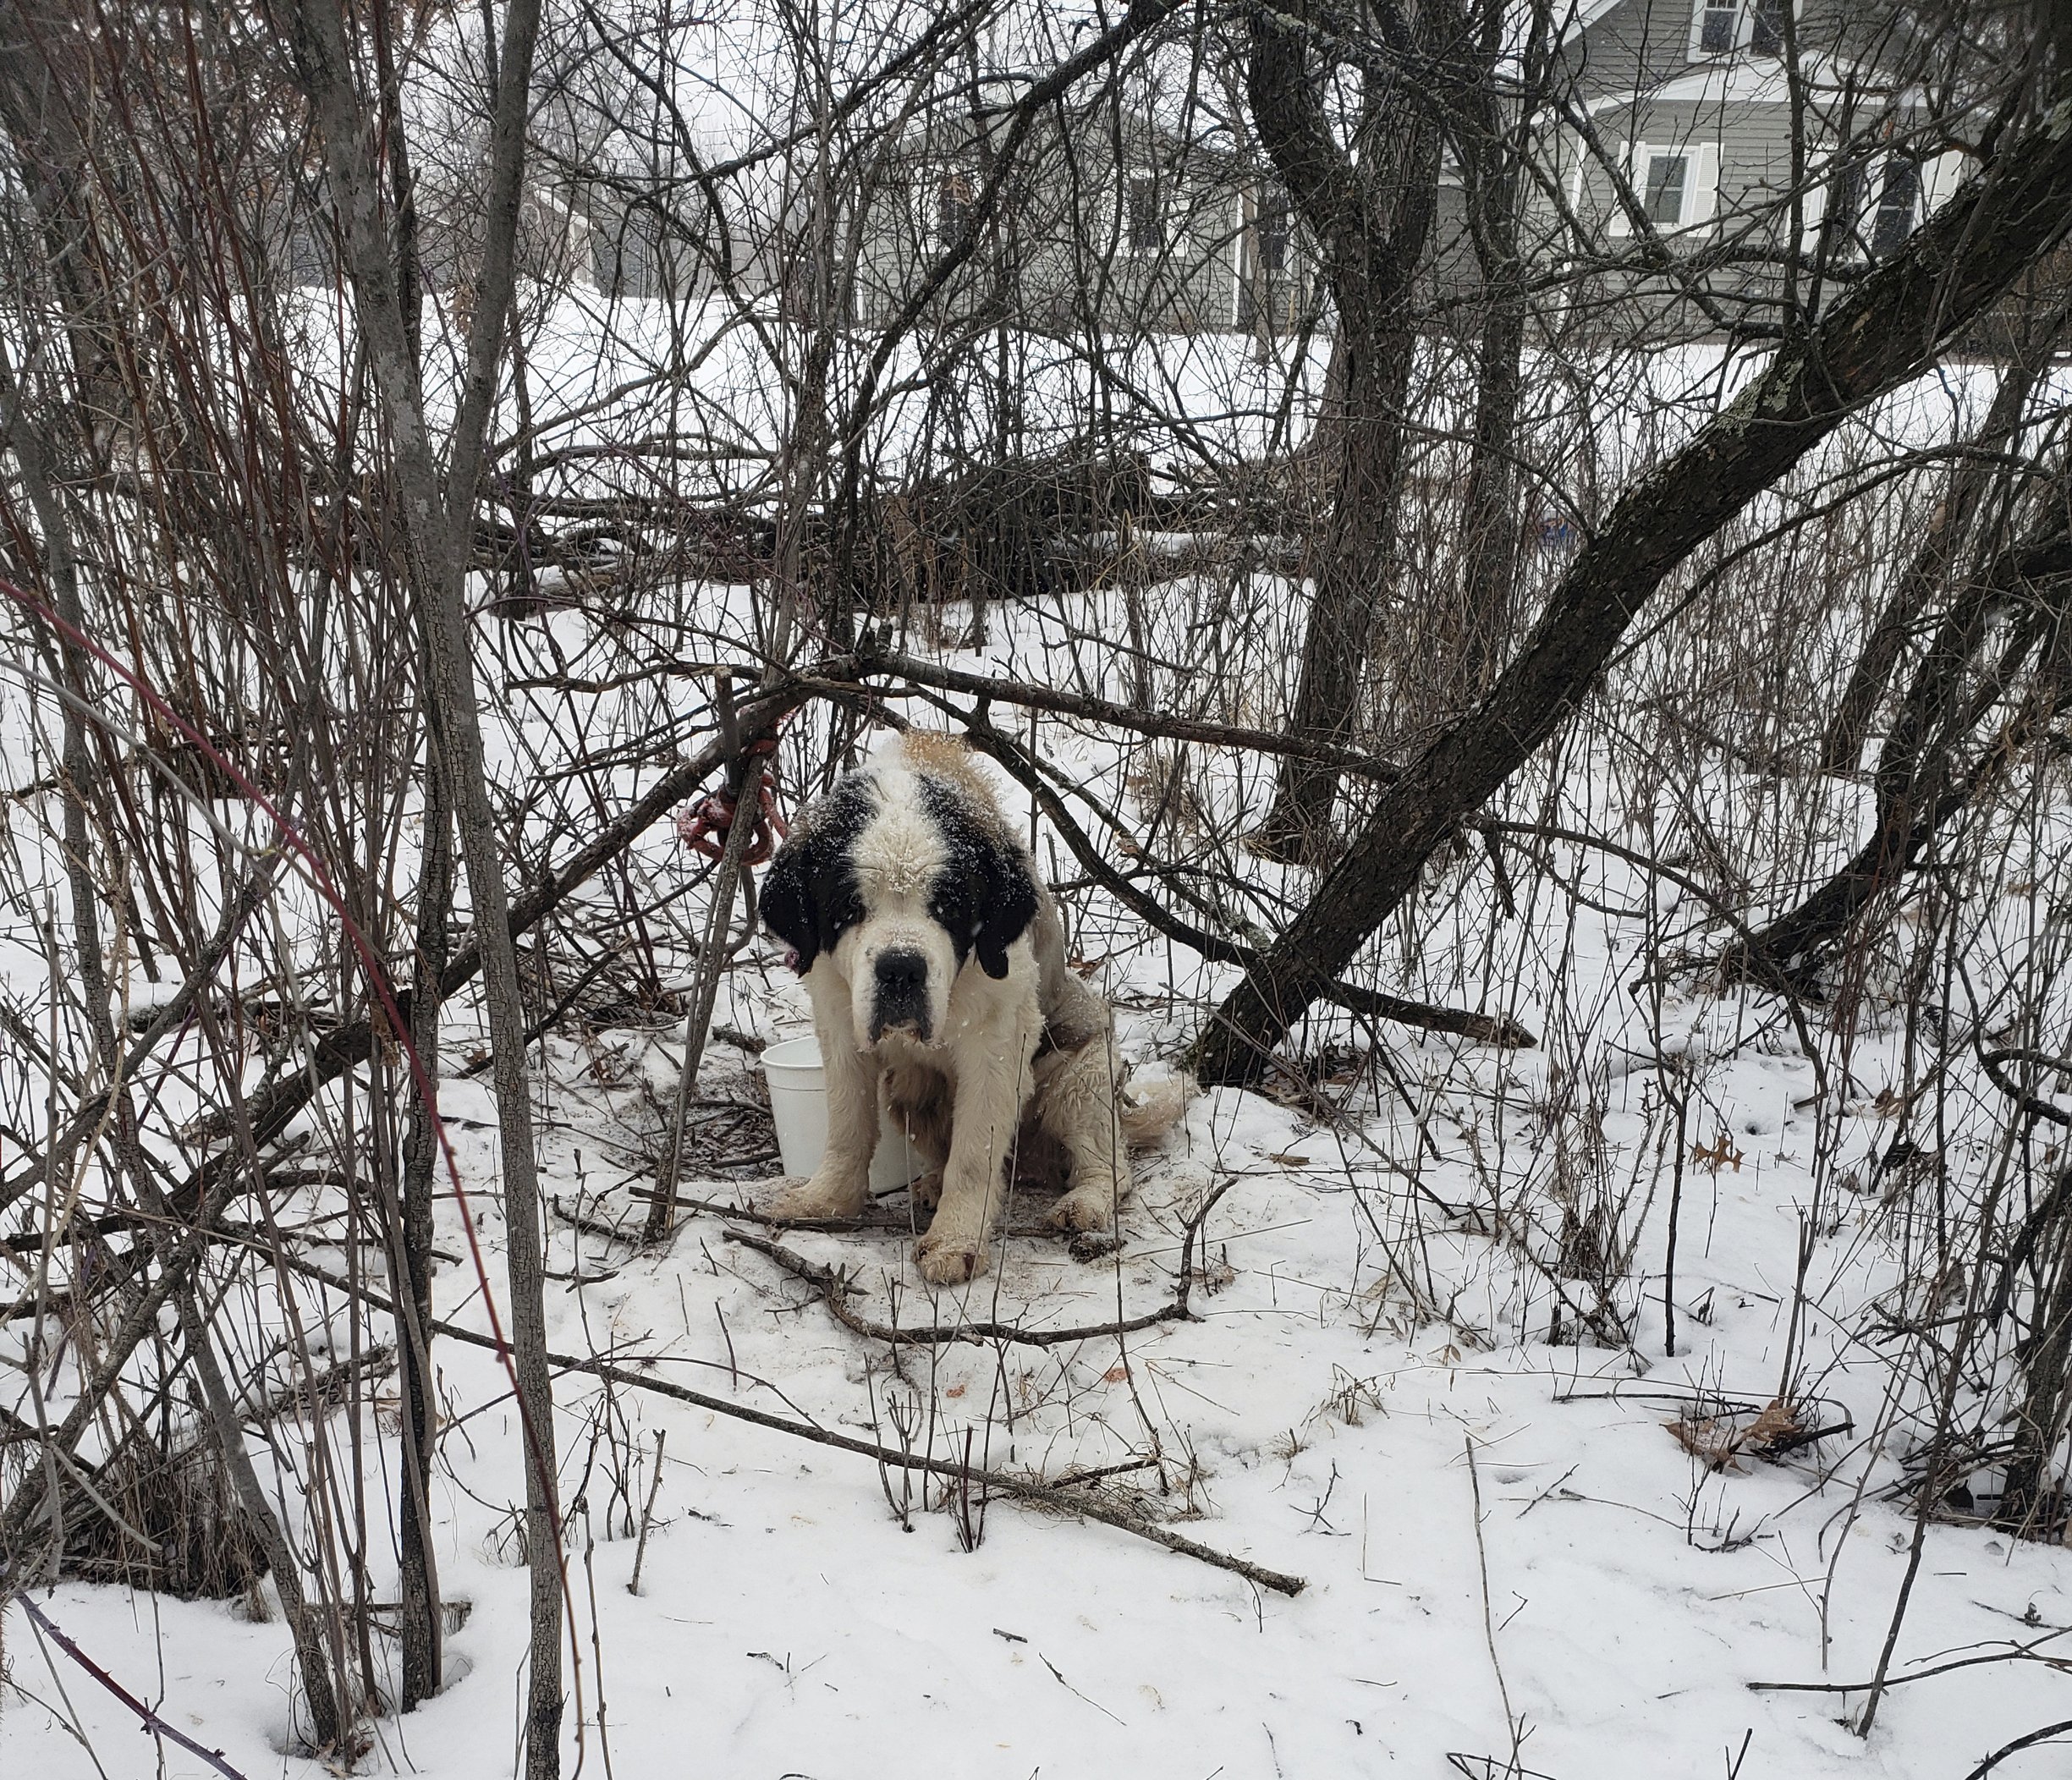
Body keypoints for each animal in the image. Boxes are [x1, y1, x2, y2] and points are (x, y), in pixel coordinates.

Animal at [762, 729, 1184, 1284]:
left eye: (946, 907)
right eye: (850, 907)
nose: (900, 969)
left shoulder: (997, 1045)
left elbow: (974, 1154)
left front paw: (954, 1242)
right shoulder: (839, 1023)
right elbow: (847, 1126)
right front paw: (825, 1201)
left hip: (1083, 1073)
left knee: (1108, 1163)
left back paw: (1084, 1202)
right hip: (913, 1096)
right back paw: (930, 1184)